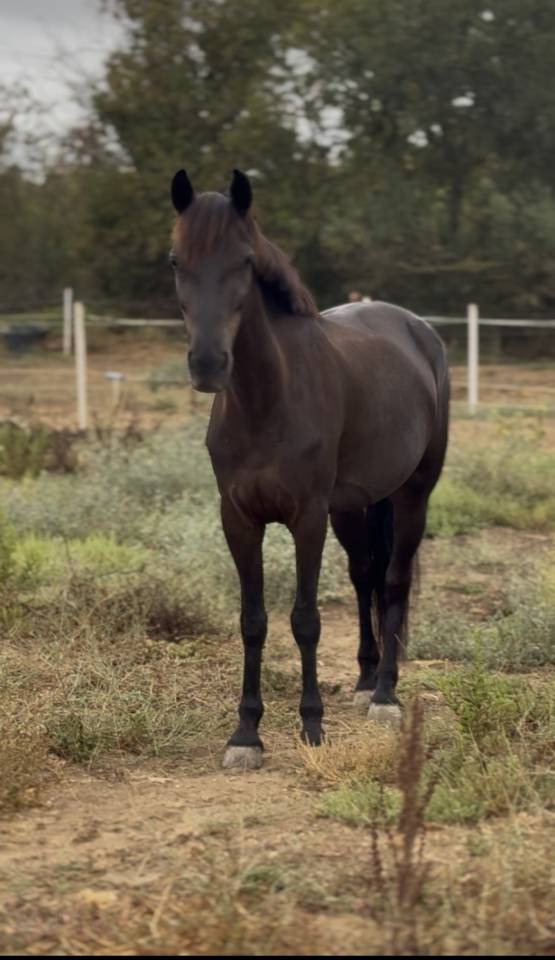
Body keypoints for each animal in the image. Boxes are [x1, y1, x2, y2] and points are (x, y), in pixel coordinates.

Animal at [169, 168, 449, 770]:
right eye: (176, 260)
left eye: (245, 261)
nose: (207, 365)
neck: (266, 400)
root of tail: (417, 330)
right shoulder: (239, 519)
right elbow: (253, 621)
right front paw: (246, 734)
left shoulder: (307, 518)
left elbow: (305, 619)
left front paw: (311, 724)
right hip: (355, 505)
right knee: (366, 575)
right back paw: (365, 681)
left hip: (413, 494)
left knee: (393, 580)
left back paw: (385, 694)